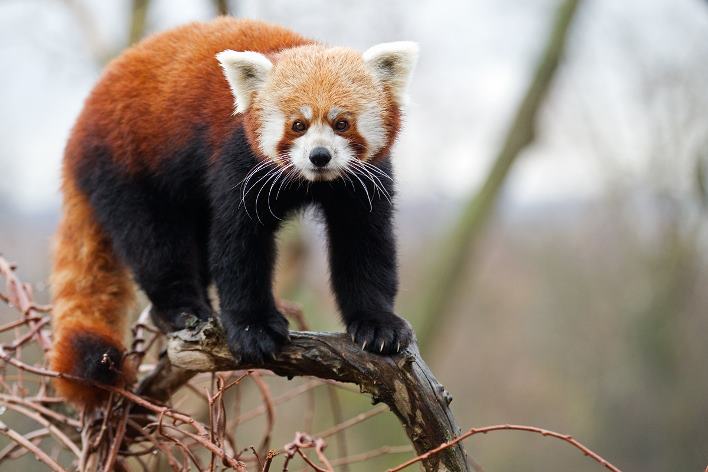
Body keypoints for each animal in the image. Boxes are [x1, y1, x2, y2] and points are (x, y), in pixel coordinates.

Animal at [52, 16, 418, 408]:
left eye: (341, 123)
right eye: (298, 125)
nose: (319, 156)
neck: (310, 182)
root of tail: (79, 126)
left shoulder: (365, 181)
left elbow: (365, 244)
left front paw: (378, 324)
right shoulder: (237, 159)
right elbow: (238, 244)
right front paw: (253, 327)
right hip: (126, 164)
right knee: (154, 241)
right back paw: (182, 311)